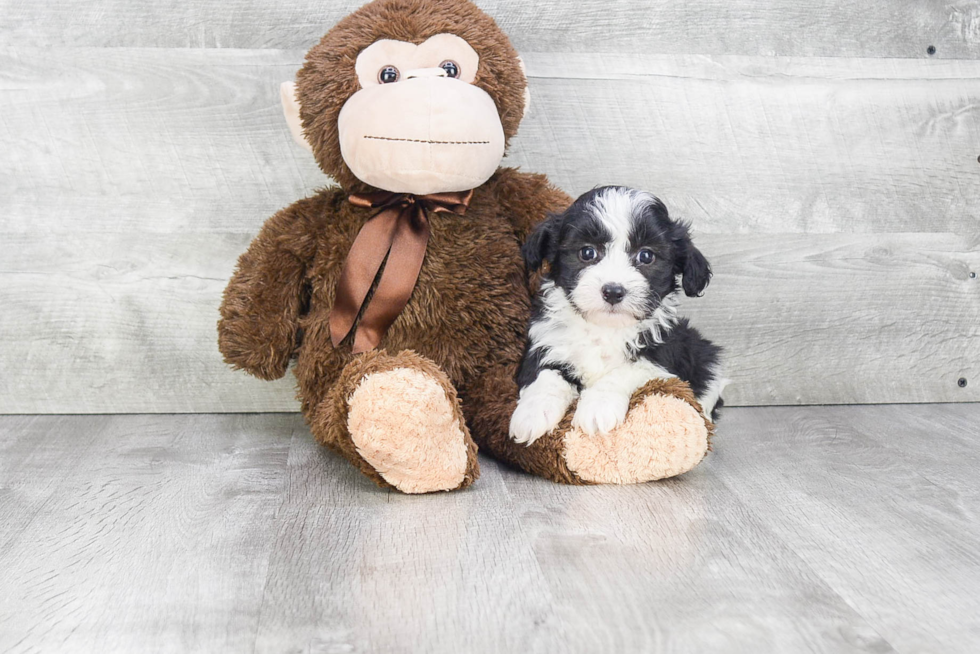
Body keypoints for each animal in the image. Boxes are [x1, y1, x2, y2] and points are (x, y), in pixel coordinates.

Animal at [510, 187, 724, 448]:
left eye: (646, 256)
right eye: (587, 252)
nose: (613, 291)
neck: (604, 328)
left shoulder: (664, 357)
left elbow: (626, 371)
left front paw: (597, 408)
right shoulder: (546, 343)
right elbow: (546, 375)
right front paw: (533, 413)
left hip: (704, 355)